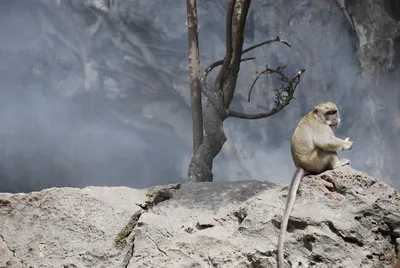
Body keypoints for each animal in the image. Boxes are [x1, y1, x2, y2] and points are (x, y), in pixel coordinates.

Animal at [278, 101, 354, 266]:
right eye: (329, 113)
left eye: (334, 111)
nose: (335, 119)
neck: (318, 117)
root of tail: (301, 165)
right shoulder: (322, 127)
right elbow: (325, 142)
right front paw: (346, 145)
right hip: (316, 161)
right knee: (325, 149)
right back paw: (337, 165)